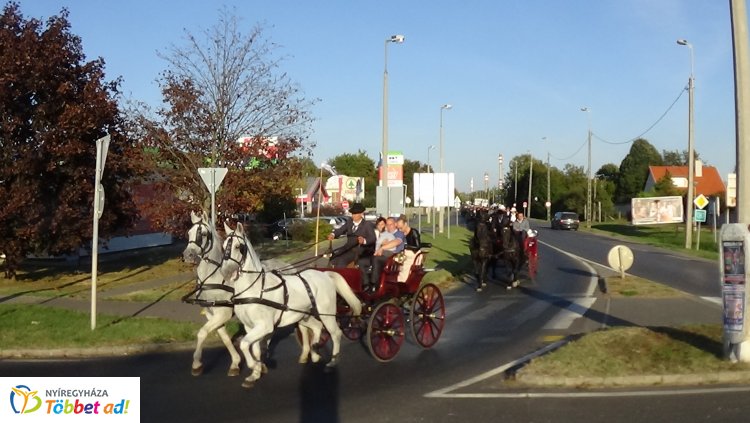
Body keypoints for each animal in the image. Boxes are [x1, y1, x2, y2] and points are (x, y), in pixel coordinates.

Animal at [182, 212, 241, 378]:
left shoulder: (223, 313)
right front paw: (235, 363)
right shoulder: (211, 313)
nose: (188, 255)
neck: (213, 279)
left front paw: (196, 363)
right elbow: (225, 338)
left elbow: (202, 333)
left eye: (202, 234)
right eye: (189, 232)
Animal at [220, 224, 362, 390]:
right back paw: (314, 352)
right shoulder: (250, 327)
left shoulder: (264, 326)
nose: (225, 272)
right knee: (317, 327)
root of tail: (325, 274)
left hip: (326, 313)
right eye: (223, 246)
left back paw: (332, 362)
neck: (255, 288)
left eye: (238, 246)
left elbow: (243, 344)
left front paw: (253, 365)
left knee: (336, 333)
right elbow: (252, 348)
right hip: (304, 315)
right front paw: (254, 374)